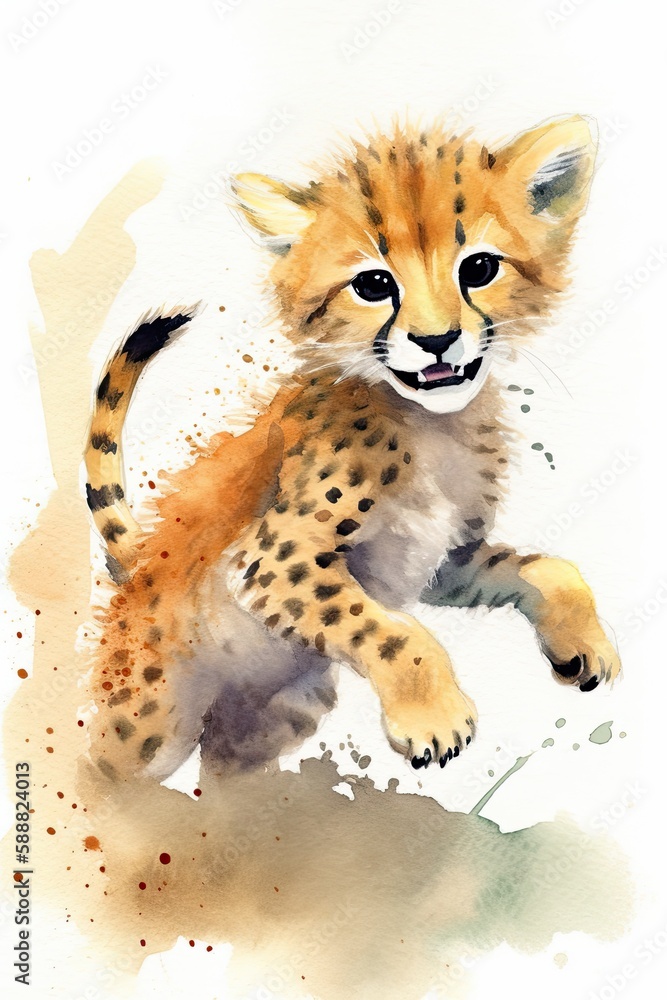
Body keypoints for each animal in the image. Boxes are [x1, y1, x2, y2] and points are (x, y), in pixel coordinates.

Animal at [83, 113, 620, 782]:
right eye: (373, 283)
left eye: (478, 269)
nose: (437, 341)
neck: (430, 425)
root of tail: (144, 558)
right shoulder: (271, 559)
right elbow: (396, 633)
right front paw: (434, 717)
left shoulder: (442, 562)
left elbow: (547, 568)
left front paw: (582, 643)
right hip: (145, 726)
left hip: (268, 719)